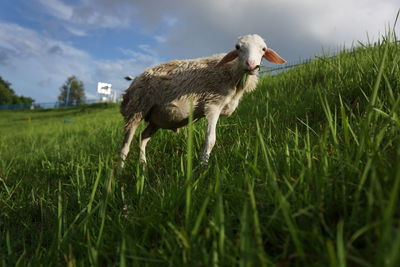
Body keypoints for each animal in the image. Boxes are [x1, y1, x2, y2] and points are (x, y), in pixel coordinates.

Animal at [118, 33, 284, 168]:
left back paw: (143, 166)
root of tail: (132, 85)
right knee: (125, 147)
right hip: (136, 109)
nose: (251, 65)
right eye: (237, 47)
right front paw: (202, 168)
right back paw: (119, 174)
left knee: (143, 138)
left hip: (156, 119)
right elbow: (210, 140)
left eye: (263, 49)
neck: (232, 74)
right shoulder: (213, 104)